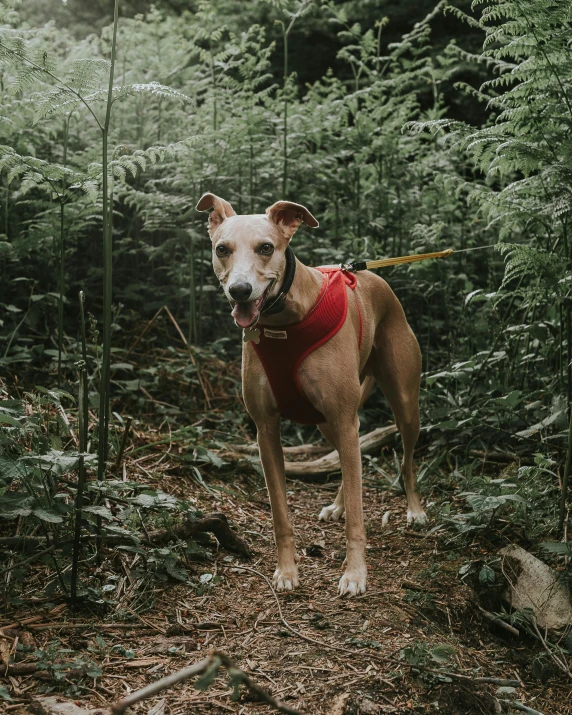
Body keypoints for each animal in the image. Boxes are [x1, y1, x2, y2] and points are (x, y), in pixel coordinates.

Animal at [197, 194, 424, 600]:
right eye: (222, 249)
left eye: (266, 248)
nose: (240, 290)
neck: (284, 322)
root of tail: (370, 274)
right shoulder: (266, 430)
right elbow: (280, 514)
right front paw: (287, 571)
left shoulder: (345, 417)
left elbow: (357, 518)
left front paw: (355, 574)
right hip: (327, 425)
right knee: (349, 464)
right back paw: (336, 505)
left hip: (403, 404)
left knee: (406, 459)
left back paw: (414, 509)